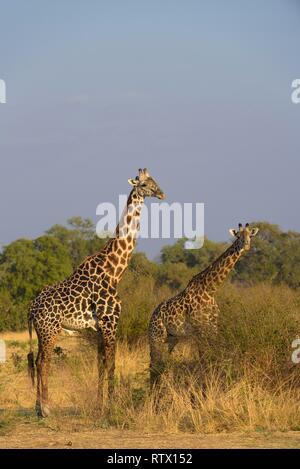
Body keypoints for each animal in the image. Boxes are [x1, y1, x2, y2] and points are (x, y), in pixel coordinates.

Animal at [27, 168, 164, 416]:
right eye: (145, 184)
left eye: (154, 181)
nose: (161, 193)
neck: (115, 270)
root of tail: (31, 308)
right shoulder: (111, 323)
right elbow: (111, 364)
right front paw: (112, 405)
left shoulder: (100, 328)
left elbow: (101, 365)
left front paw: (101, 404)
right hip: (50, 331)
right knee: (43, 363)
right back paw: (46, 409)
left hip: (42, 333)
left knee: (36, 361)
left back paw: (38, 407)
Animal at [149, 223, 258, 388]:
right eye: (238, 236)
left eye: (250, 235)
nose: (246, 245)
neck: (210, 289)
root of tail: (152, 316)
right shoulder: (200, 330)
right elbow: (203, 359)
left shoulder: (213, 328)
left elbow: (212, 356)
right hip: (156, 337)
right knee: (154, 365)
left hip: (172, 338)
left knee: (160, 364)